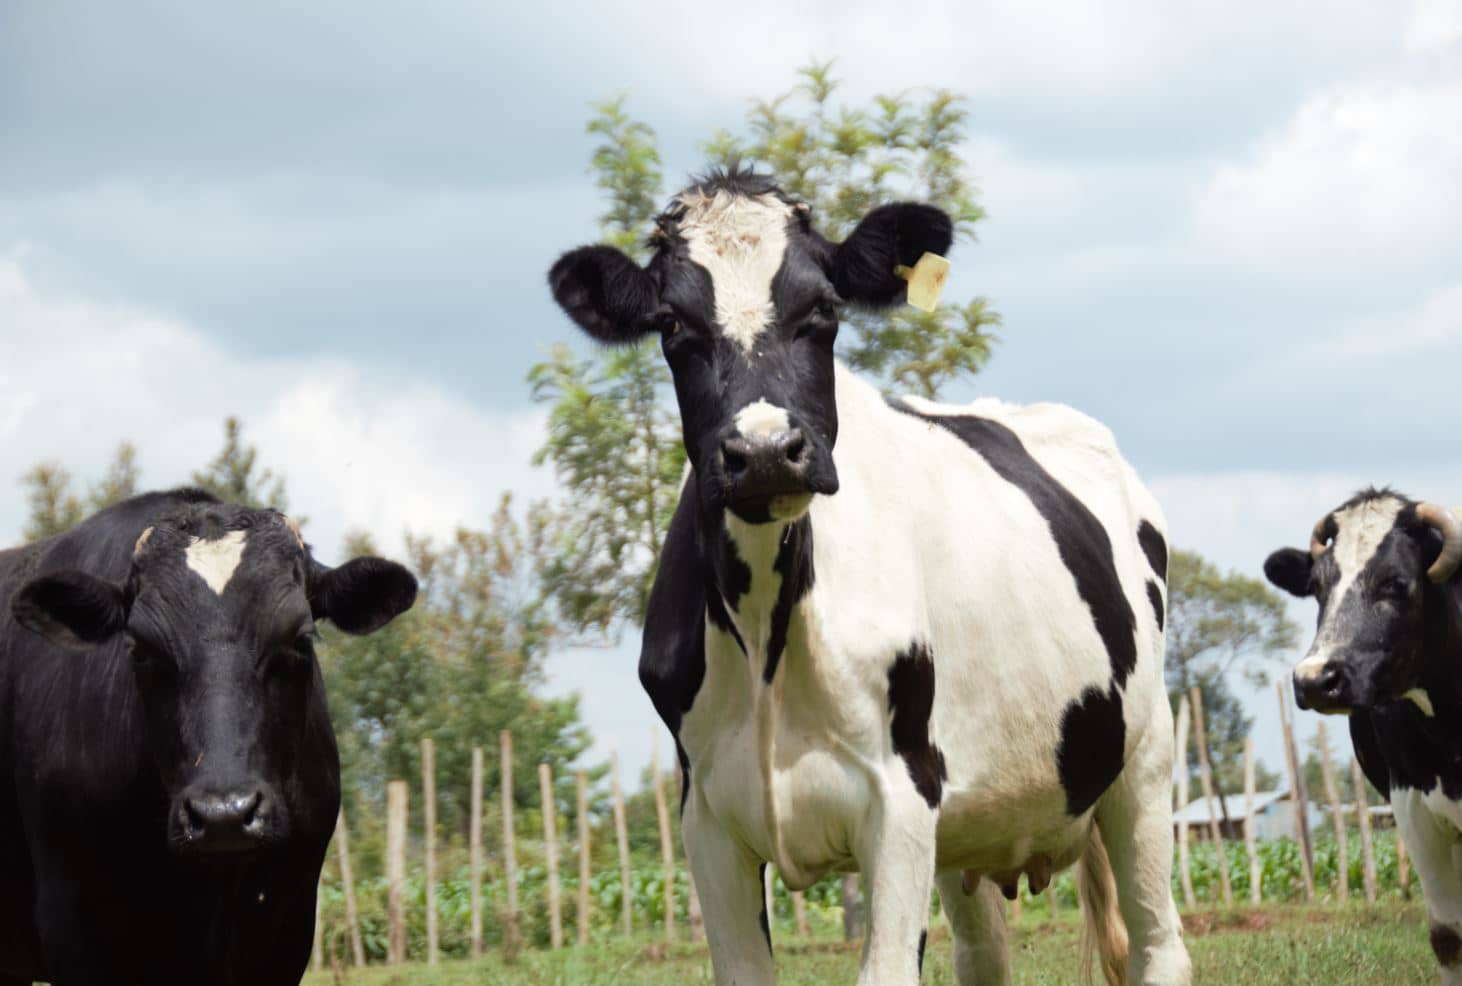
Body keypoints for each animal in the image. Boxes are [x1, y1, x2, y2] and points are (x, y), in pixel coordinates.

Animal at [548, 166, 1191, 985]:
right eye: (671, 324)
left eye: (824, 309)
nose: (766, 452)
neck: (767, 640)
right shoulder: (707, 819)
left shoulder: (902, 795)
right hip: (977, 823)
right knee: (984, 956)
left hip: (1144, 763)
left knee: (1159, 945)